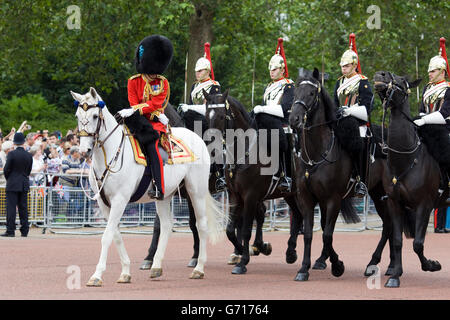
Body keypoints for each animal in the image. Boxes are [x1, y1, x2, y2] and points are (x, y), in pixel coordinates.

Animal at [71, 88, 227, 288]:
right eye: (77, 116)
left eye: (94, 116)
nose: (84, 151)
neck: (109, 155)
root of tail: (197, 137)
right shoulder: (104, 203)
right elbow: (116, 235)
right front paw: (125, 272)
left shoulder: (120, 200)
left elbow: (106, 236)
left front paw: (97, 275)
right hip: (164, 196)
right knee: (167, 225)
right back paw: (156, 266)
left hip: (196, 192)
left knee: (201, 225)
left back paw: (198, 268)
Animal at [205, 89, 304, 274]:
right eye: (207, 115)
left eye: (221, 116)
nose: (211, 147)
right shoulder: (235, 195)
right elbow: (230, 230)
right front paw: (248, 250)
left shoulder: (250, 196)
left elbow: (245, 230)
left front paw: (243, 261)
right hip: (289, 195)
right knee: (297, 216)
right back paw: (290, 252)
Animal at [290, 69, 392, 282]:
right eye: (295, 91)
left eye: (312, 93)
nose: (294, 119)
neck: (317, 153)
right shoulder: (307, 198)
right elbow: (311, 233)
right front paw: (304, 268)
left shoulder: (333, 199)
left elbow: (327, 234)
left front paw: (337, 265)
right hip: (378, 193)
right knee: (389, 225)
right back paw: (382, 265)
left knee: (391, 225)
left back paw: (379, 264)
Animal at [372, 71, 446, 288]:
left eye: (402, 81)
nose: (380, 74)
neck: (405, 159)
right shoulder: (395, 203)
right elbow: (397, 241)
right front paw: (395, 275)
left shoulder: (425, 205)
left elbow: (417, 243)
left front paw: (432, 265)